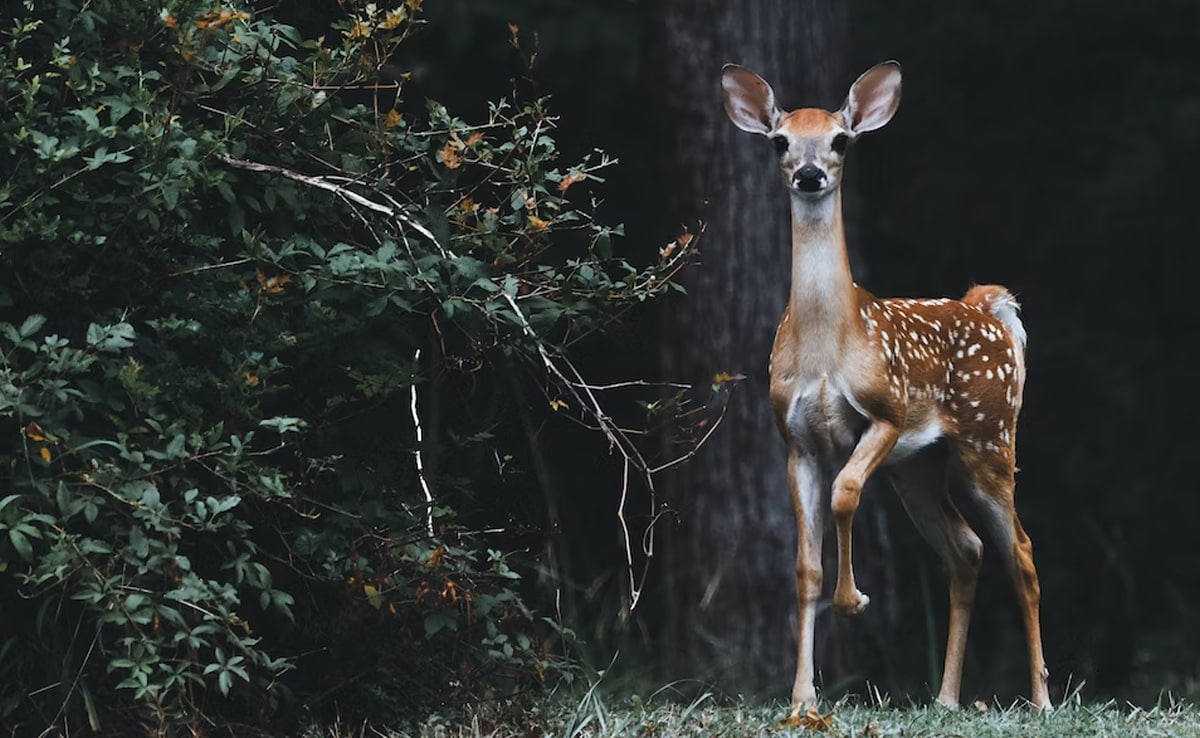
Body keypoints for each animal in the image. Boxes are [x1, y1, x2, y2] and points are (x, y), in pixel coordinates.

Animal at [720, 60, 1050, 714]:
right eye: (780, 142)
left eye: (841, 140)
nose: (811, 174)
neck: (829, 347)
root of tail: (988, 307)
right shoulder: (795, 441)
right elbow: (805, 567)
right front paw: (803, 698)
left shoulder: (887, 413)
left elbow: (846, 493)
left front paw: (854, 601)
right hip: (918, 468)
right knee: (966, 549)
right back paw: (946, 699)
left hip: (989, 439)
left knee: (1021, 553)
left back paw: (1042, 700)